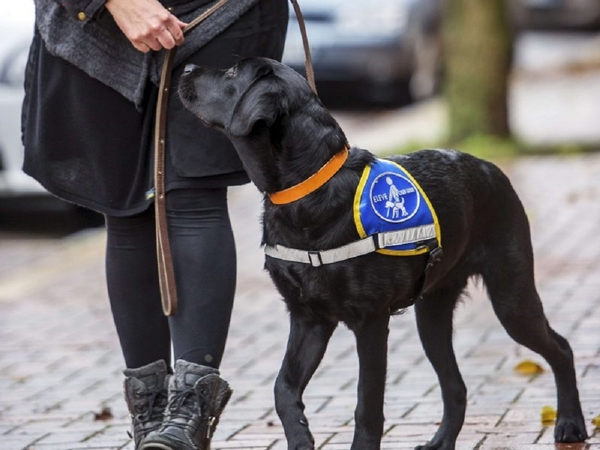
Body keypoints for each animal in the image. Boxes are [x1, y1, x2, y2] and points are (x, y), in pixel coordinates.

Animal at [177, 58, 584, 448]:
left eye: (232, 71)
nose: (185, 67)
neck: (308, 190)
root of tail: (491, 167)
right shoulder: (309, 318)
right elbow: (282, 388)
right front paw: (301, 438)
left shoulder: (370, 321)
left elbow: (367, 404)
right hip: (432, 316)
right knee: (456, 386)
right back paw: (440, 442)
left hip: (511, 297)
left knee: (561, 348)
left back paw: (570, 424)